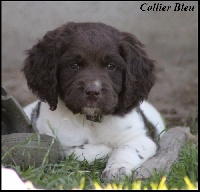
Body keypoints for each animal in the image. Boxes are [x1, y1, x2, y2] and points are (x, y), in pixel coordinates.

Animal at [22, 21, 166, 181]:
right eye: (73, 65)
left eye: (111, 66)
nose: (92, 92)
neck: (91, 120)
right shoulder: (52, 142)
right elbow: (76, 150)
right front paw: (106, 150)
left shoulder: (142, 137)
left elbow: (126, 148)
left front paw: (117, 169)